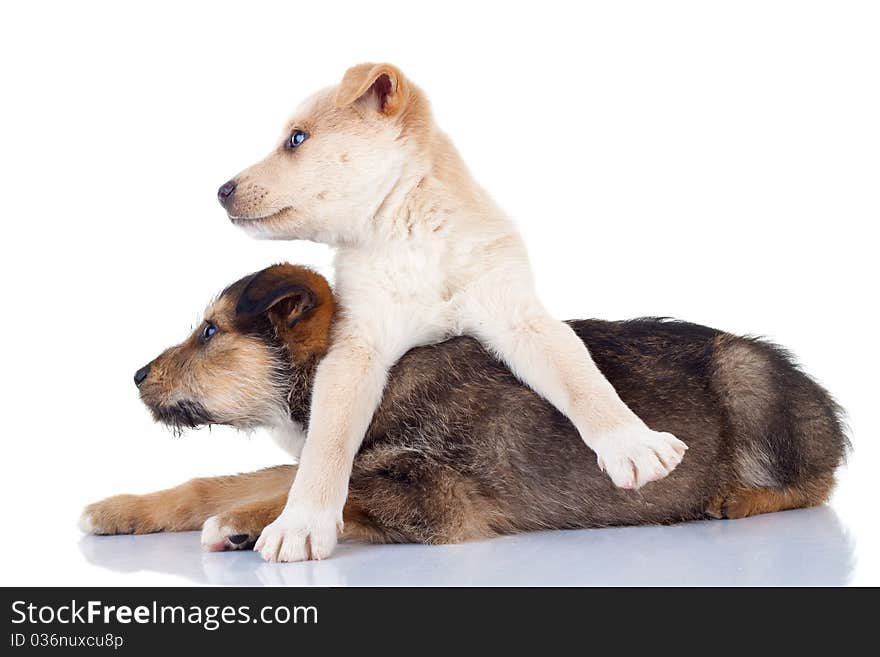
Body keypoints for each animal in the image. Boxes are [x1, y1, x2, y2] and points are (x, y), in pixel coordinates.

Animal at [79, 264, 848, 556]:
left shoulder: (439, 499)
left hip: (749, 380)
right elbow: (236, 480)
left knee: (820, 478)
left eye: (210, 333)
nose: (136, 375)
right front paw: (124, 507)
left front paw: (249, 524)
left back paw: (732, 498)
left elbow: (318, 493)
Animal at [220, 64, 688, 560]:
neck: (411, 235)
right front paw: (302, 523)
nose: (221, 191)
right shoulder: (356, 351)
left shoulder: (518, 316)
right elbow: (326, 444)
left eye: (296, 139)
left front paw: (631, 444)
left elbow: (582, 382)